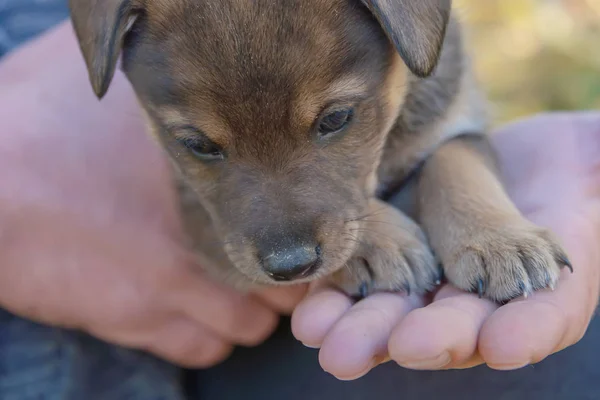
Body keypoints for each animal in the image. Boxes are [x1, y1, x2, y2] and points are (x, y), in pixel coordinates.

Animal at [68, 0, 568, 300]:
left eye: (335, 119)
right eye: (198, 145)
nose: (291, 267)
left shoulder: (457, 118)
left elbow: (456, 163)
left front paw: (500, 242)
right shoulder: (199, 213)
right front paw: (381, 244)